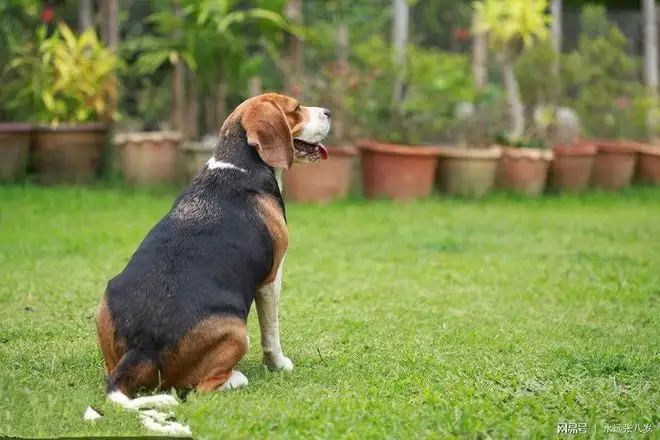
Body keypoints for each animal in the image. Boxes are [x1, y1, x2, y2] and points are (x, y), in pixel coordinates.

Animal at [93, 93, 330, 426]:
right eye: (296, 108)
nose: (328, 112)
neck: (239, 164)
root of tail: (141, 348)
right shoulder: (272, 279)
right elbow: (271, 333)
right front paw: (278, 363)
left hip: (104, 302)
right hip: (237, 331)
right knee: (198, 390)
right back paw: (236, 378)